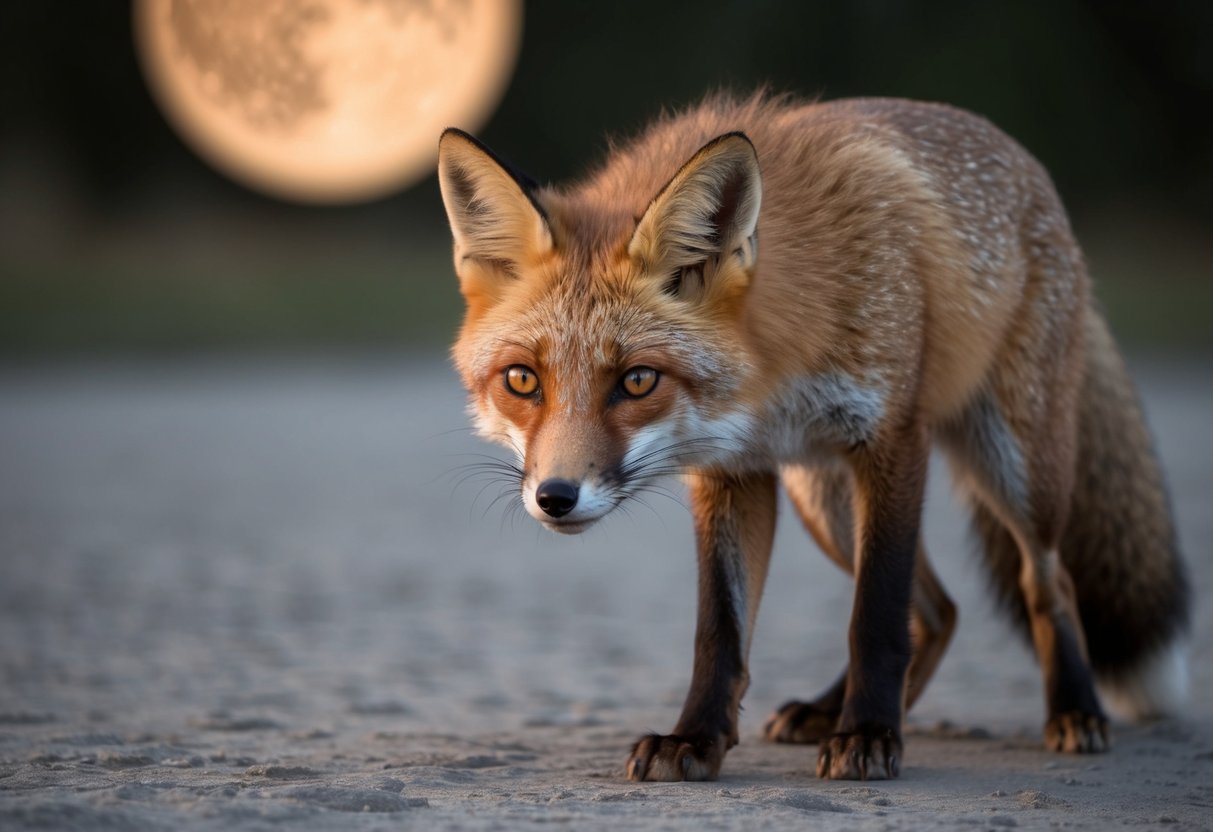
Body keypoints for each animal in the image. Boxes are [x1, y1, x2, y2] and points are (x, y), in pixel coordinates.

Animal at [437, 92, 1190, 782]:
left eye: (638, 380)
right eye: (522, 380)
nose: (555, 497)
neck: (768, 385)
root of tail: (1031, 170)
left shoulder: (893, 439)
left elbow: (874, 618)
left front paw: (869, 735)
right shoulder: (732, 471)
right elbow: (721, 631)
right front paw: (696, 740)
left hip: (1016, 468)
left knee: (1045, 580)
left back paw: (1071, 710)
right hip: (823, 500)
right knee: (939, 612)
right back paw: (832, 711)